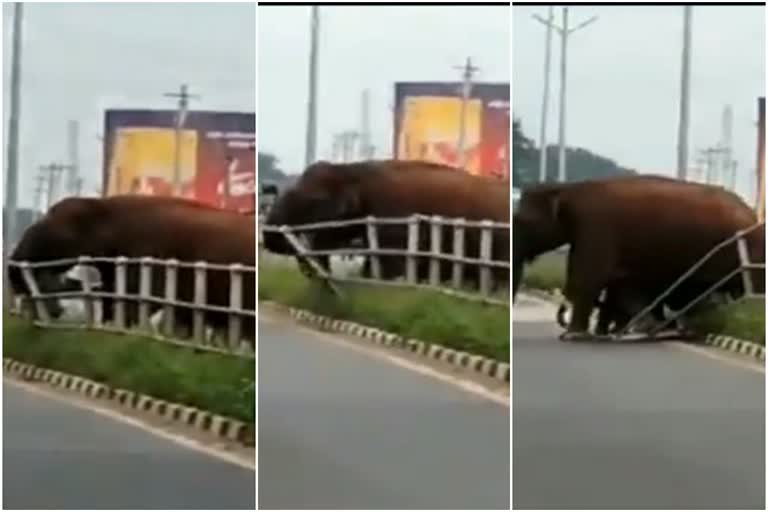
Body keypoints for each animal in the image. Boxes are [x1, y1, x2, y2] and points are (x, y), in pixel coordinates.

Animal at [512, 176, 764, 340]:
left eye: (522, 221)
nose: (561, 313)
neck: (568, 189)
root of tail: (753, 216)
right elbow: (612, 284)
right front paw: (602, 333)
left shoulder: (595, 228)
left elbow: (589, 279)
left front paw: (573, 336)